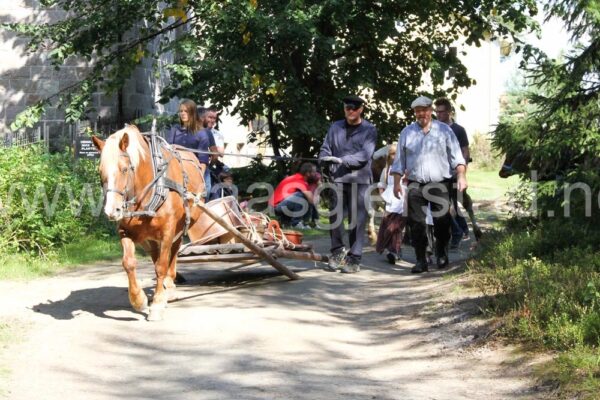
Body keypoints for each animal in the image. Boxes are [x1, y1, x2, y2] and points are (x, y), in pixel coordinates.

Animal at [91, 126, 206, 320]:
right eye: (100, 171)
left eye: (124, 169)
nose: (112, 210)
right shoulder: (125, 231)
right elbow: (129, 263)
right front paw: (139, 300)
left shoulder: (168, 230)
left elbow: (161, 266)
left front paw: (157, 304)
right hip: (150, 237)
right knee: (155, 254)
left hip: (180, 227)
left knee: (172, 252)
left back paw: (169, 285)